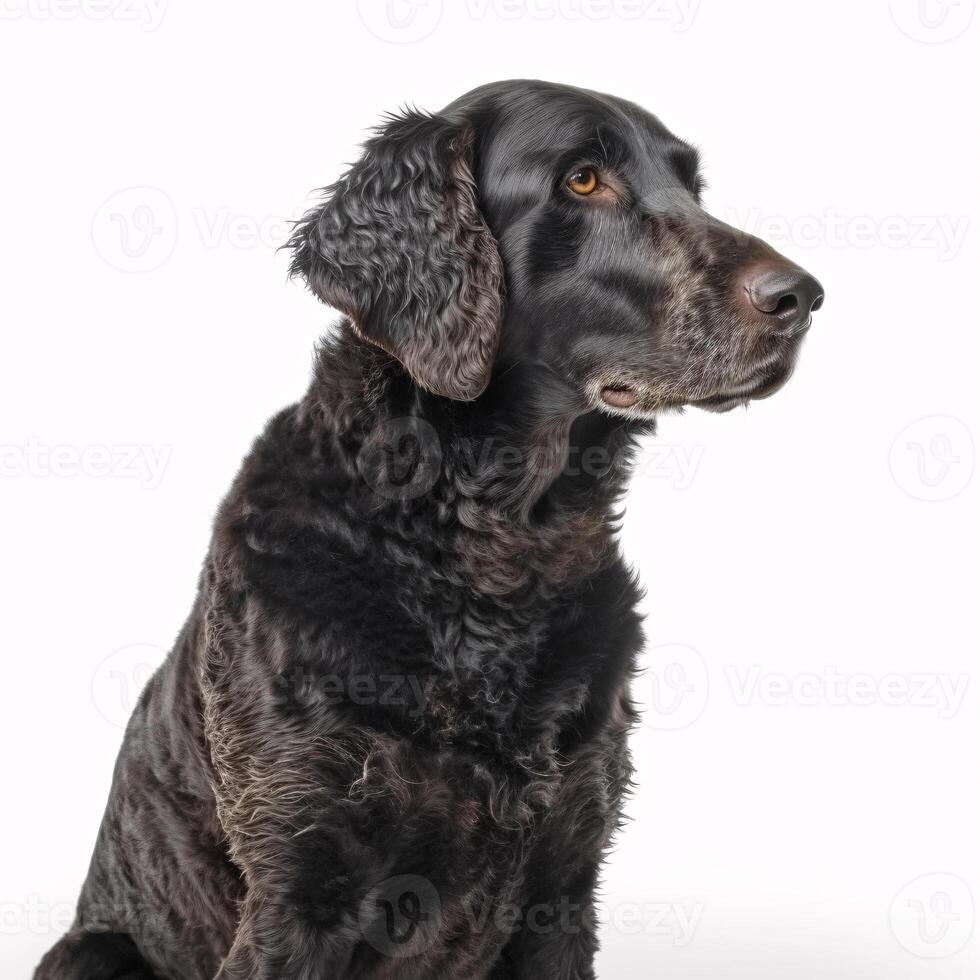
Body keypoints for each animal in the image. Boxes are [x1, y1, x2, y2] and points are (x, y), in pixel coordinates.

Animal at [36, 80, 820, 976]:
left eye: (692, 185)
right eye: (583, 179)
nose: (803, 297)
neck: (492, 556)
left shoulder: (563, 883)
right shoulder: (298, 883)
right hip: (93, 949)